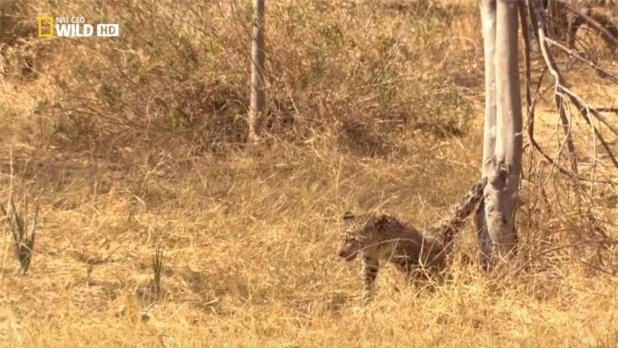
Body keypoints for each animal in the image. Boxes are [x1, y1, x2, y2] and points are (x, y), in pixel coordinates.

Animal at [336, 177, 486, 302]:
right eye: (343, 239)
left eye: (351, 240)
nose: (340, 253)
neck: (376, 246)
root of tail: (437, 231)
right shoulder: (370, 261)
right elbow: (368, 281)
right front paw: (365, 301)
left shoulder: (406, 260)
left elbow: (415, 279)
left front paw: (416, 296)